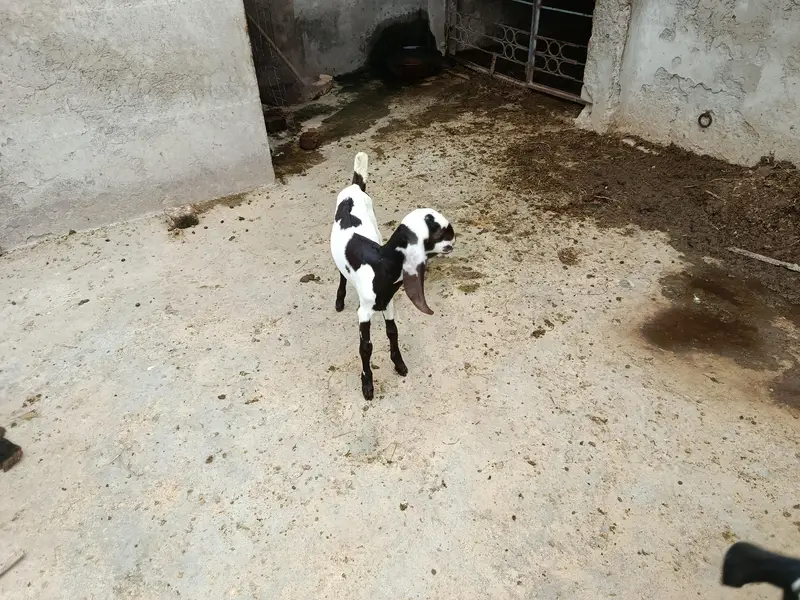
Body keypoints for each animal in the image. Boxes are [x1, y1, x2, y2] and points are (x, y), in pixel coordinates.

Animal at [330, 152, 456, 400]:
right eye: (437, 232)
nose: (454, 236)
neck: (381, 265)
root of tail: (354, 187)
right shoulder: (364, 311)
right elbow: (366, 347)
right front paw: (367, 385)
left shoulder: (388, 303)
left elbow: (392, 332)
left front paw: (399, 364)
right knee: (341, 273)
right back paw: (339, 300)